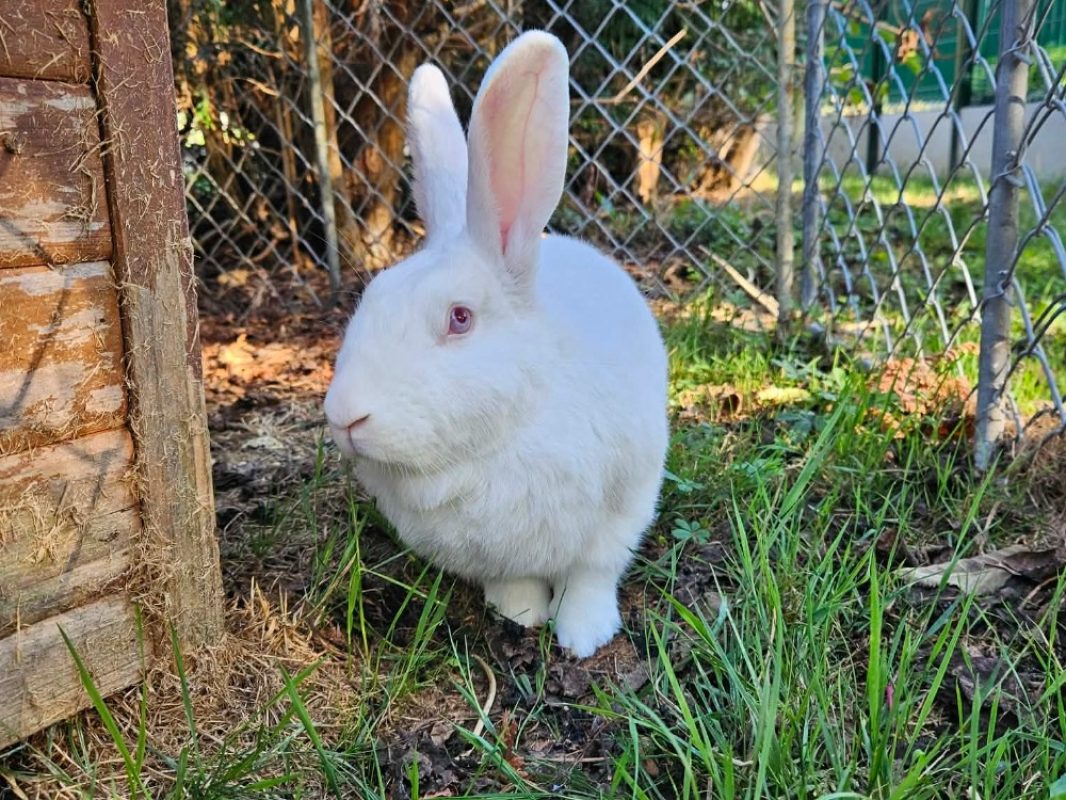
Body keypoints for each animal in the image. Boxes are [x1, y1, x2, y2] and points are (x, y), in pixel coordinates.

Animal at [323, 30, 668, 658]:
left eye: (460, 318)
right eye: (371, 298)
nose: (344, 416)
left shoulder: (620, 512)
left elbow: (591, 575)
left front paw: (582, 637)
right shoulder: (496, 558)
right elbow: (514, 583)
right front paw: (521, 617)